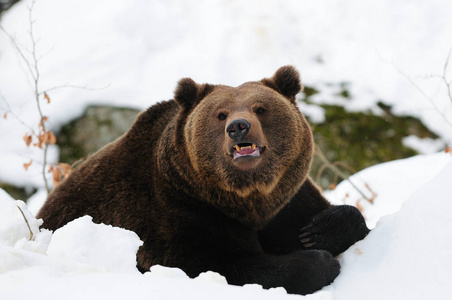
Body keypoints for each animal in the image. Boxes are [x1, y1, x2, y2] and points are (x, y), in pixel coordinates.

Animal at [38, 66, 370, 296]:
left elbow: (337, 218)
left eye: (261, 108)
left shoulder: (286, 199)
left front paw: (318, 231)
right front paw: (317, 262)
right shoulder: (178, 211)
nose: (239, 126)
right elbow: (216, 263)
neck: (245, 199)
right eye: (220, 114)